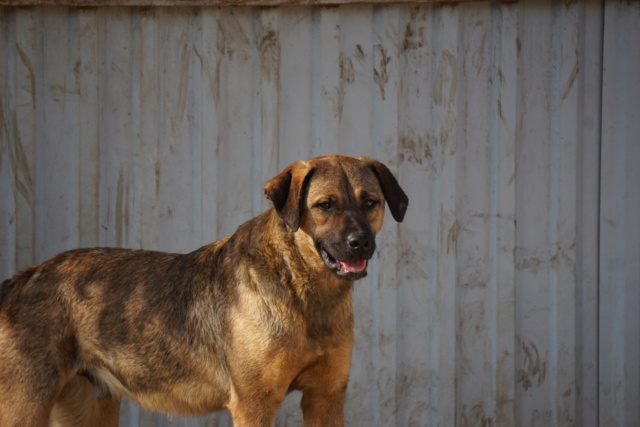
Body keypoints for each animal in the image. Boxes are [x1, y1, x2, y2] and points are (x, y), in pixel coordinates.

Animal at [0, 155, 408, 427]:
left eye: (370, 203)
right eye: (325, 205)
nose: (361, 243)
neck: (304, 293)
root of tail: (26, 276)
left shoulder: (326, 396)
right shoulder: (254, 404)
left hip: (89, 406)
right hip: (25, 403)